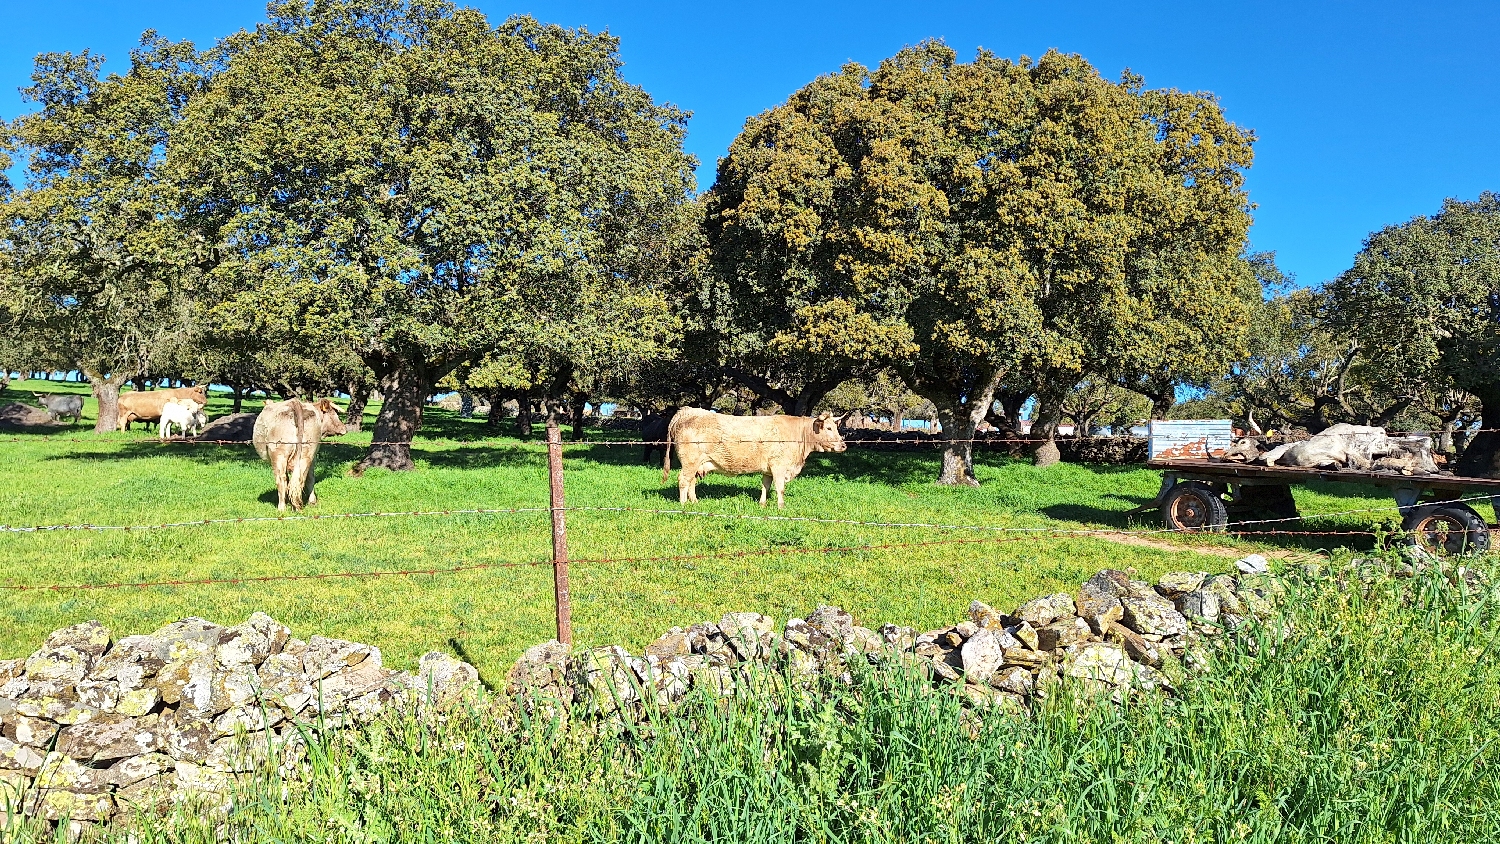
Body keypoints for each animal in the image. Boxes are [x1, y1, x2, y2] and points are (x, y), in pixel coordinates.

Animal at [663, 410, 852, 509]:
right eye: (828, 428)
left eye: (836, 427)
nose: (843, 446)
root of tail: (687, 410)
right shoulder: (779, 466)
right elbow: (780, 488)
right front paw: (781, 506)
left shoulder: (768, 469)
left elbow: (765, 486)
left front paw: (762, 504)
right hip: (689, 462)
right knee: (683, 480)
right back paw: (683, 504)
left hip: (696, 464)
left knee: (691, 482)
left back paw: (694, 501)